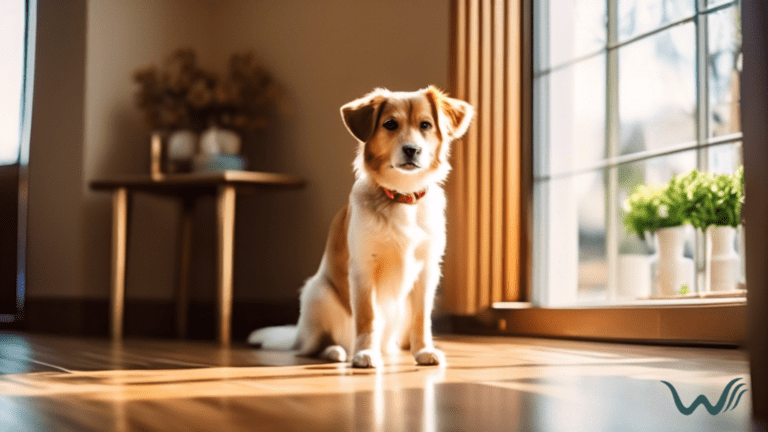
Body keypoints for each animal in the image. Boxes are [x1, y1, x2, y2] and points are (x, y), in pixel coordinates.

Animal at [249, 85, 472, 368]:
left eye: (425, 125)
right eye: (390, 124)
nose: (412, 149)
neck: (402, 197)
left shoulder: (427, 270)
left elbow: (422, 319)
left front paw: (423, 351)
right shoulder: (363, 268)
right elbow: (367, 317)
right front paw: (365, 354)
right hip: (317, 292)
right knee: (311, 348)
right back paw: (338, 351)